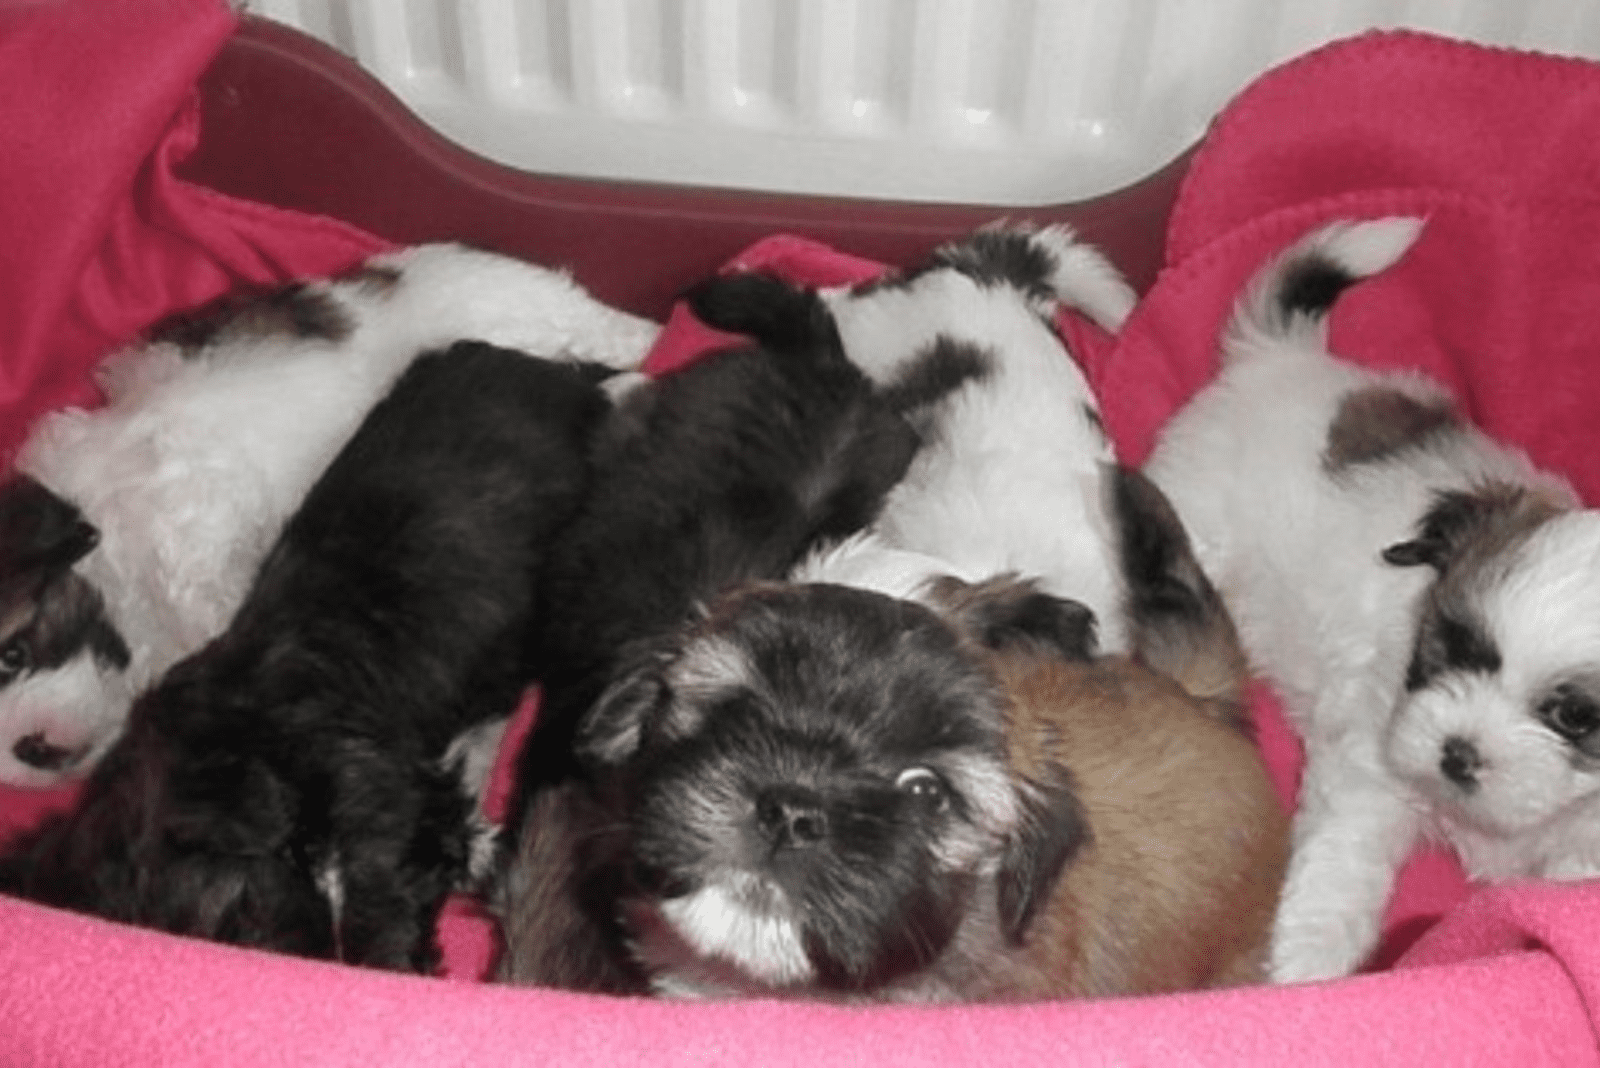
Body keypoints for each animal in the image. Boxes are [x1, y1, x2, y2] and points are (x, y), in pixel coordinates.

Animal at [1145, 217, 1593, 984]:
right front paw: (1305, 960)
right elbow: (1343, 858)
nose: (1457, 752)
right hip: (1195, 508)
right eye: (1448, 647)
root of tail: (1280, 356)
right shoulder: (1370, 757)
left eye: (1571, 717)